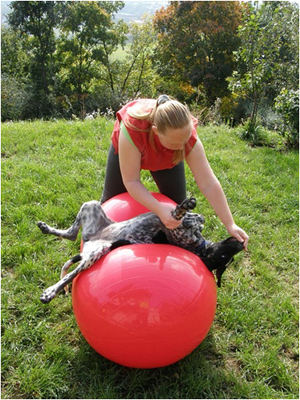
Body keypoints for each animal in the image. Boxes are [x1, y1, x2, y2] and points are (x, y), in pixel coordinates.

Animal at [37, 197, 244, 304]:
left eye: (225, 257)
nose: (241, 245)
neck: (200, 247)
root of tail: (92, 239)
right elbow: (195, 217)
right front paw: (189, 210)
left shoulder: (176, 230)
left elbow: (180, 217)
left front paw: (183, 210)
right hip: (91, 205)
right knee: (71, 234)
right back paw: (46, 228)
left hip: (95, 254)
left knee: (69, 274)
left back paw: (51, 292)